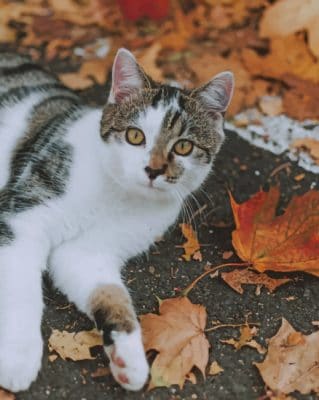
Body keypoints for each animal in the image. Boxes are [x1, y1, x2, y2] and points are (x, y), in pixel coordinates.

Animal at [0, 48, 234, 392]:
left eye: (184, 146)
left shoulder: (88, 254)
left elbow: (113, 295)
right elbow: (20, 290)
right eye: (135, 136)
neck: (118, 195)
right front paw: (18, 357)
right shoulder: (23, 216)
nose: (153, 169)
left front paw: (129, 360)